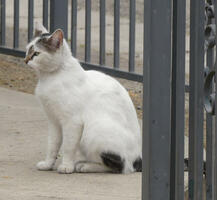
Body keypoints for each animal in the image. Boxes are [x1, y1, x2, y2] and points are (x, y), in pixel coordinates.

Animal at [24, 23, 142, 173]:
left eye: (36, 54)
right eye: (27, 50)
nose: (25, 60)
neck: (49, 78)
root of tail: (138, 158)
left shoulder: (72, 122)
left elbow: (68, 147)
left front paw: (67, 166)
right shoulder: (53, 121)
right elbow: (52, 145)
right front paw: (48, 164)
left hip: (93, 131)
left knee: (119, 166)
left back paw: (84, 166)